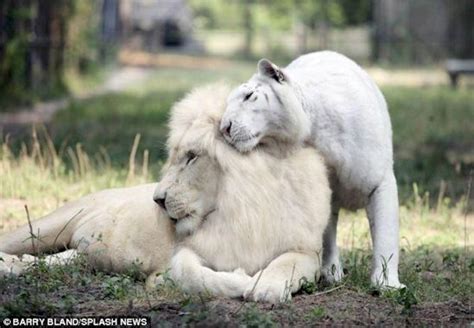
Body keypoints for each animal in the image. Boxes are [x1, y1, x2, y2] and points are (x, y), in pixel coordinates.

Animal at [0, 84, 330, 302]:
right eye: (175, 156)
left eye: (192, 157)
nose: (157, 200)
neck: (241, 208)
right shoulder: (184, 254)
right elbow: (194, 276)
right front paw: (241, 279)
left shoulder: (306, 250)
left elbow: (286, 264)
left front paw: (266, 287)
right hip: (46, 225)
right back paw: (8, 264)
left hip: (81, 252)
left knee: (56, 259)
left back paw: (17, 266)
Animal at [219, 50, 404, 288]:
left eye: (249, 96)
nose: (224, 128)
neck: (315, 129)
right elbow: (326, 234)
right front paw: (332, 273)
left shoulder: (379, 182)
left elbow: (386, 234)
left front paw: (387, 284)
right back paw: (331, 273)